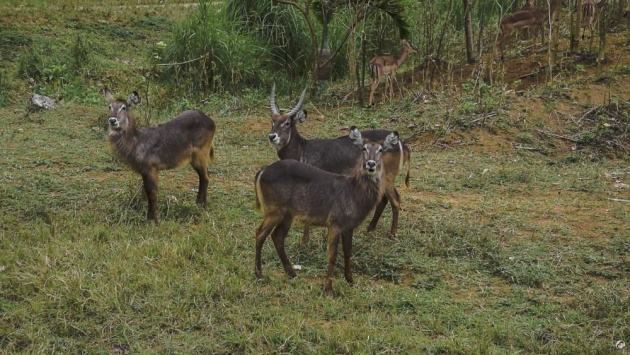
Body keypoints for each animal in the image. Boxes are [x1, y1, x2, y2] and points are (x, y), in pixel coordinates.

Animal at [103, 89, 217, 222]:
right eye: (109, 106)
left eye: (124, 107)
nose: (112, 120)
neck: (136, 142)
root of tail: (210, 120)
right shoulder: (144, 171)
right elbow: (146, 192)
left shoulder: (151, 168)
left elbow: (152, 193)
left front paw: (154, 219)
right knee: (203, 176)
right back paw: (199, 203)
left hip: (200, 154)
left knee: (205, 177)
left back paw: (201, 205)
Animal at [256, 126, 400, 294]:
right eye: (364, 148)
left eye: (381, 149)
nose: (371, 164)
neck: (353, 193)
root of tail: (261, 172)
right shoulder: (334, 223)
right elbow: (332, 254)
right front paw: (328, 287)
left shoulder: (349, 227)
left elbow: (348, 252)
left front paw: (350, 281)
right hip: (274, 209)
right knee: (260, 234)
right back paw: (259, 275)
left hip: (287, 214)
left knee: (277, 237)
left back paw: (292, 274)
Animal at [266, 85, 410, 243]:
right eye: (272, 121)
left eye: (287, 123)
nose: (272, 136)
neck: (302, 149)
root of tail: (401, 143)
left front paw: (304, 242)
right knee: (383, 200)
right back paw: (370, 228)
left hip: (388, 177)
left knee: (395, 199)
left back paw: (393, 233)